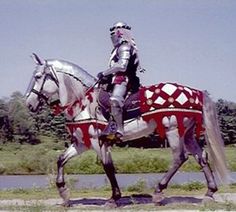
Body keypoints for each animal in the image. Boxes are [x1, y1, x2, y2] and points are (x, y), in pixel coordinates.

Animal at [25, 53, 229, 207]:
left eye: (38, 77)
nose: (29, 104)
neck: (84, 102)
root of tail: (195, 93)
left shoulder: (98, 141)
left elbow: (108, 167)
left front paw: (114, 198)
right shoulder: (82, 143)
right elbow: (61, 160)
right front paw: (64, 193)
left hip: (172, 129)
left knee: (180, 157)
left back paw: (158, 192)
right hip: (187, 133)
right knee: (201, 157)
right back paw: (209, 193)